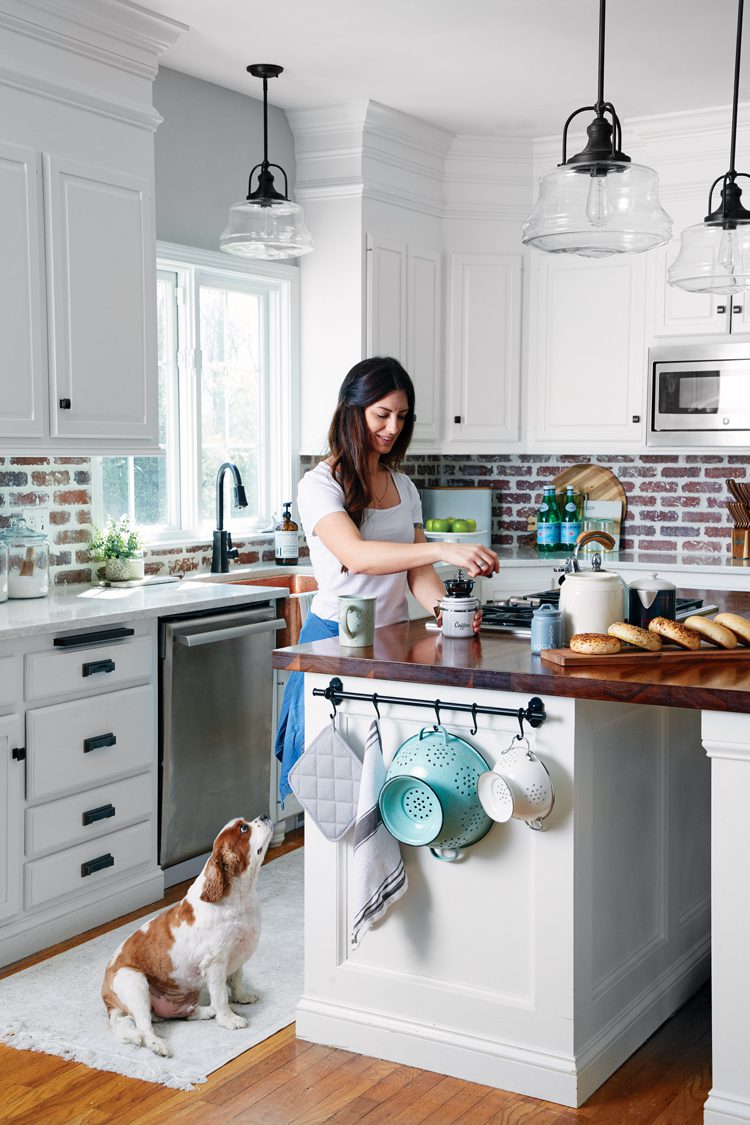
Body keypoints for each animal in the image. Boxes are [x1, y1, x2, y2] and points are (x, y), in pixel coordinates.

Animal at [101, 814, 274, 1057]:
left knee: (175, 1015)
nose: (264, 816)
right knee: (145, 1027)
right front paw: (229, 1019)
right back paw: (159, 1044)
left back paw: (205, 1011)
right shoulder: (215, 964)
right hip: (135, 983)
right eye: (243, 828)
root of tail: (107, 996)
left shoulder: (236, 955)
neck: (239, 897)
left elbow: (237, 979)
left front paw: (242, 997)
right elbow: (221, 995)